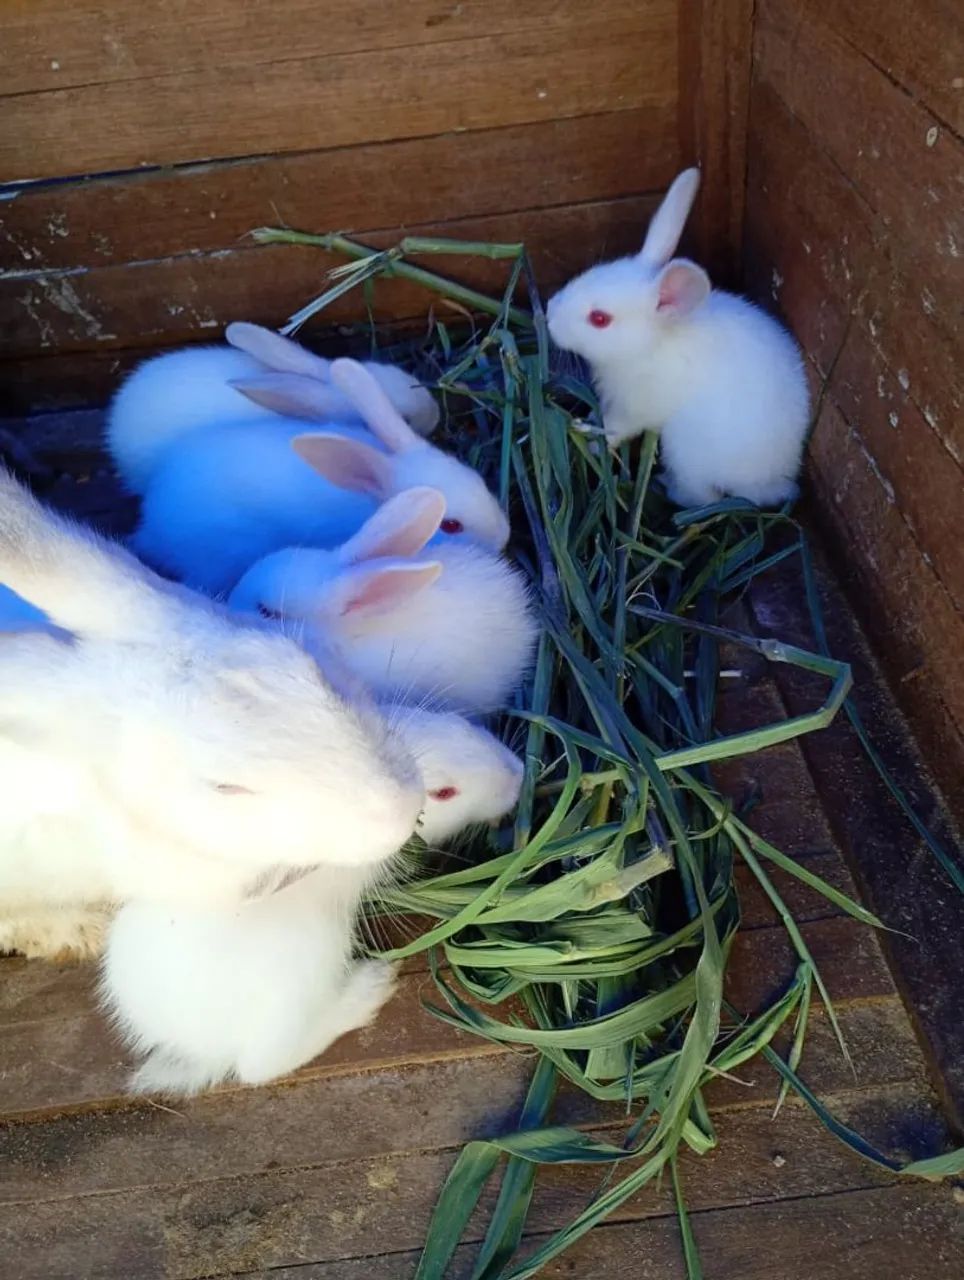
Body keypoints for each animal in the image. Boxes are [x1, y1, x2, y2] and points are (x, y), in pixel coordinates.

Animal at [546, 167, 810, 509]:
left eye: (600, 319)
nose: (549, 314)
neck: (648, 346)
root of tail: (772, 482)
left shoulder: (635, 409)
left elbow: (616, 429)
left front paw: (589, 440)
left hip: (684, 451)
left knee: (703, 497)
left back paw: (666, 487)